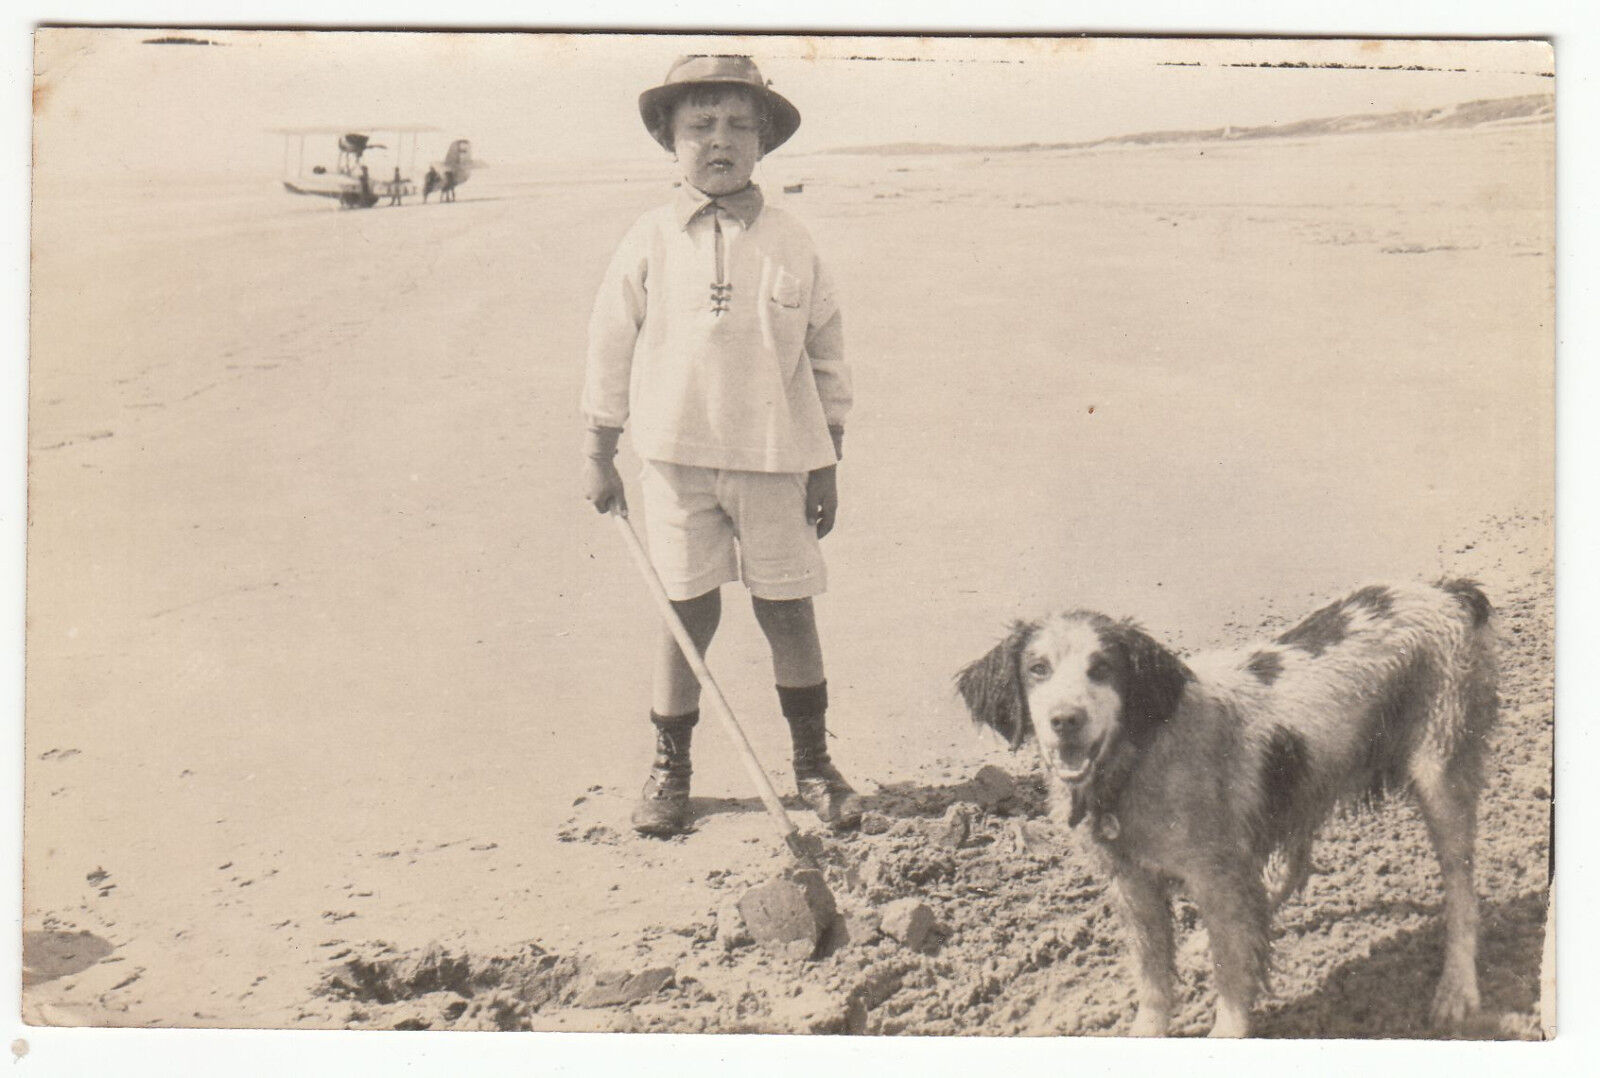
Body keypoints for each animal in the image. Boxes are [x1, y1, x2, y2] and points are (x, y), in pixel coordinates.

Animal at [960, 578, 1497, 1030]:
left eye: (1102, 669)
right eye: (1037, 669)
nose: (1065, 720)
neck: (1140, 758)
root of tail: (1449, 590)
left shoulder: (1214, 875)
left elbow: (1233, 970)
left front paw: (1228, 1030)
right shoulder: (1132, 884)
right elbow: (1154, 977)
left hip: (1440, 776)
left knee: (1463, 892)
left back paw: (1457, 989)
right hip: (1298, 786)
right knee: (1291, 870)